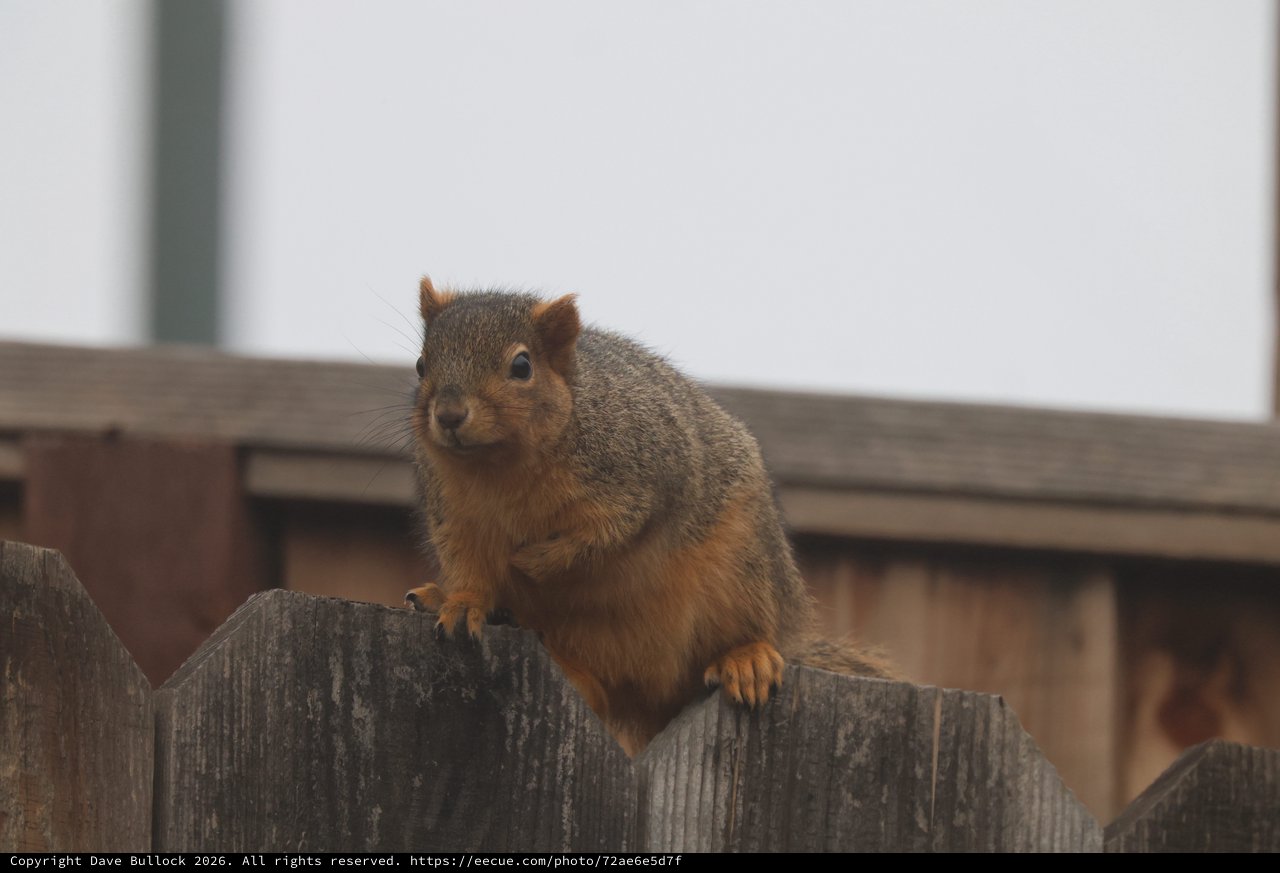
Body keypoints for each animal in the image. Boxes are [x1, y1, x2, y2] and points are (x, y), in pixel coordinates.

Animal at [404, 277, 893, 754]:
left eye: (522, 366)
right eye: (421, 365)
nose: (449, 414)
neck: (500, 468)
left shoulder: (645, 477)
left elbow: (607, 534)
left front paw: (534, 561)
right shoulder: (454, 517)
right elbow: (468, 568)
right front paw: (464, 603)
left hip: (742, 571)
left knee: (748, 630)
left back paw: (747, 658)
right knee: (597, 692)